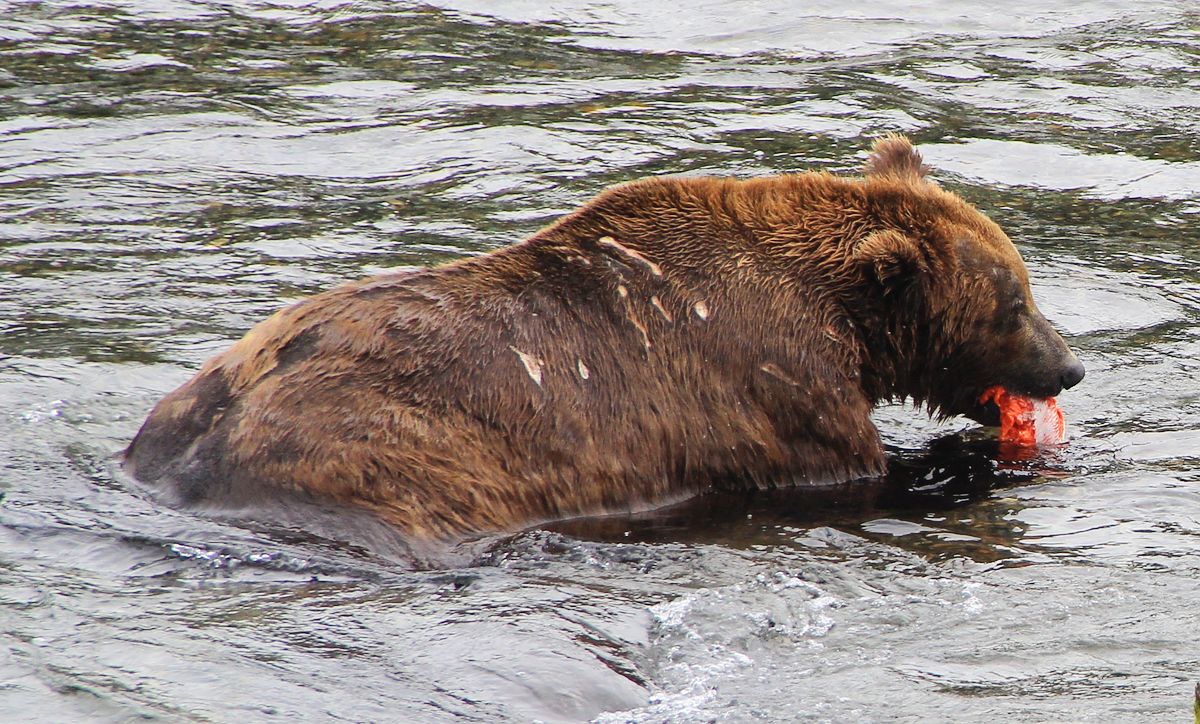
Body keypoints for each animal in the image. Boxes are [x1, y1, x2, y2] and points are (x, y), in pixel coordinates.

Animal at [126, 137, 1084, 537]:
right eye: (1014, 302)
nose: (1070, 365)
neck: (840, 319)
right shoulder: (776, 393)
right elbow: (859, 467)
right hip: (394, 455)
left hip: (200, 397)